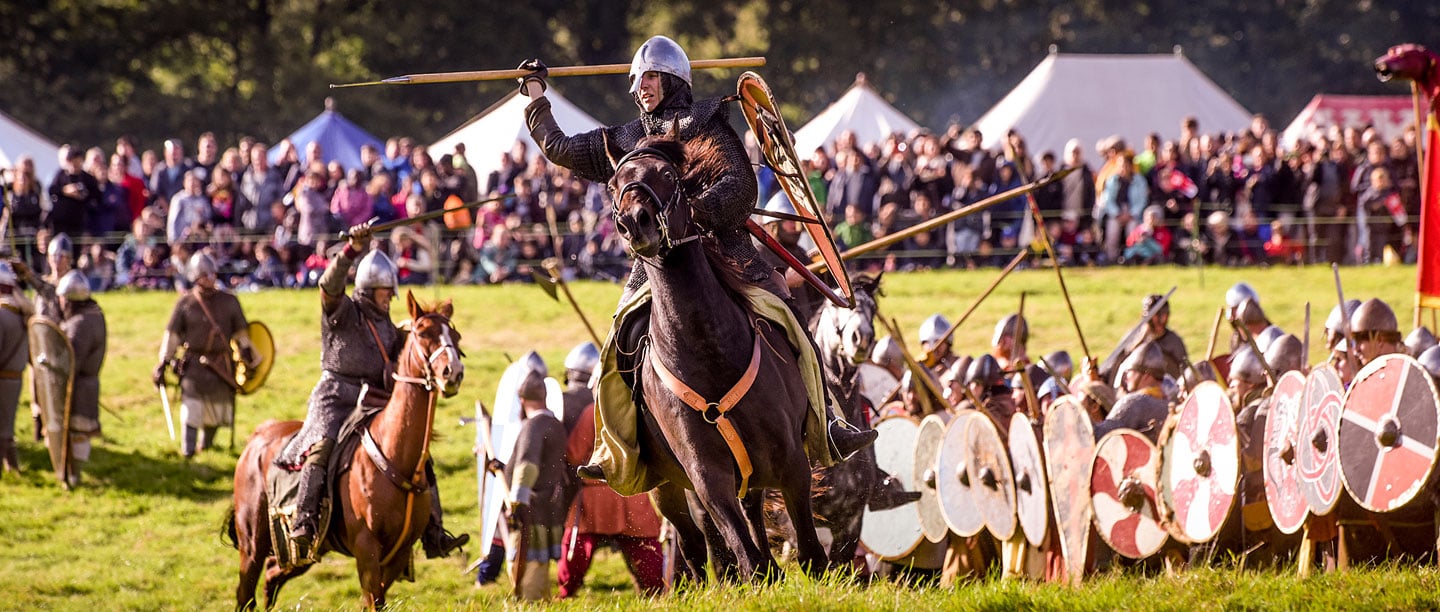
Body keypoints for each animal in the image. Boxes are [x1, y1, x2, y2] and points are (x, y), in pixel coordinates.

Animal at [223, 293, 460, 607]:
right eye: (422, 334)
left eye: (455, 336)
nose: (452, 373)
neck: (392, 454)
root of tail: (258, 436)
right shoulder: (366, 550)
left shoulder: (397, 554)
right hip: (252, 545)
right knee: (245, 593)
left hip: (304, 552)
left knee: (272, 576)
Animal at [610, 132, 835, 576]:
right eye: (614, 185)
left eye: (667, 174)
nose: (635, 222)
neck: (706, 350)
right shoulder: (705, 474)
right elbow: (743, 551)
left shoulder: (791, 461)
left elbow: (808, 548)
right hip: (667, 486)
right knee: (694, 539)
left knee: (750, 512)